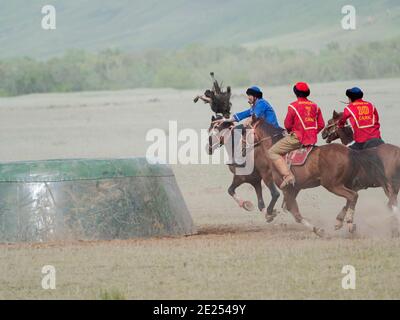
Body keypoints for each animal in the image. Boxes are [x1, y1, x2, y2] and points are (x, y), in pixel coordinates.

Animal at [252, 115, 390, 235]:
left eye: (247, 129)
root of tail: (350, 152)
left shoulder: (287, 188)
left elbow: (295, 213)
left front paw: (318, 230)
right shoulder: (295, 188)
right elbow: (289, 208)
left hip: (332, 185)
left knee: (353, 196)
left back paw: (349, 223)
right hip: (345, 184)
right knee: (351, 197)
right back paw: (343, 222)